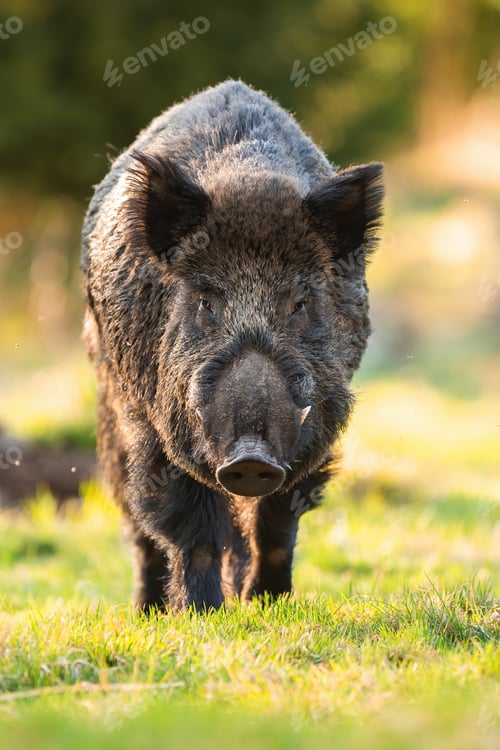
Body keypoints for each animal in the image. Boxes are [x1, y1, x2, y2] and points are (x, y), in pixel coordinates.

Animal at [81, 79, 384, 611]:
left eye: (299, 303)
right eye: (206, 300)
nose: (250, 459)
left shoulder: (317, 427)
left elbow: (278, 522)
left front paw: (267, 604)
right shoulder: (155, 421)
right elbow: (189, 523)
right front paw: (202, 614)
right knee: (139, 523)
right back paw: (147, 611)